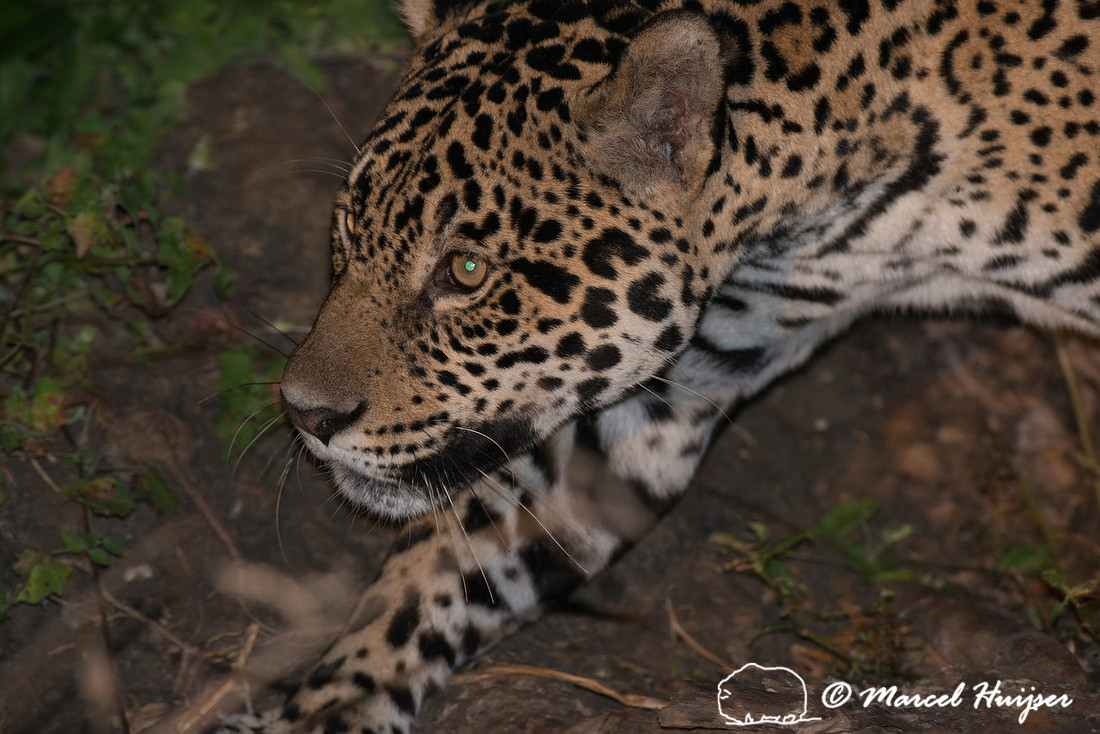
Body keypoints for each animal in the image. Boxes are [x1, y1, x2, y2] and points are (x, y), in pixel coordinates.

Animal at [218, 0, 1100, 731]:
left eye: (466, 271)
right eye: (345, 231)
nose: (306, 415)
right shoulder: (664, 397)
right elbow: (436, 568)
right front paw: (320, 709)